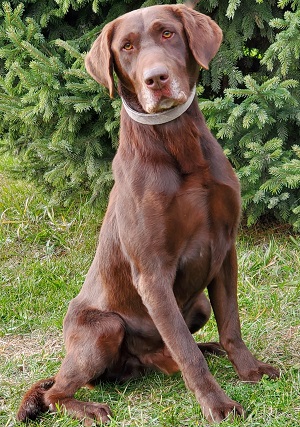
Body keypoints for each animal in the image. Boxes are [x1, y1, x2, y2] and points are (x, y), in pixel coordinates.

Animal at [15, 4, 278, 427]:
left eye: (168, 33)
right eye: (126, 47)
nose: (157, 79)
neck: (176, 142)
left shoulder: (225, 250)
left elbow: (232, 326)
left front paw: (250, 370)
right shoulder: (152, 273)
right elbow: (186, 350)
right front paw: (217, 404)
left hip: (197, 305)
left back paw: (207, 349)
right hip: (103, 329)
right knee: (57, 391)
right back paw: (89, 408)